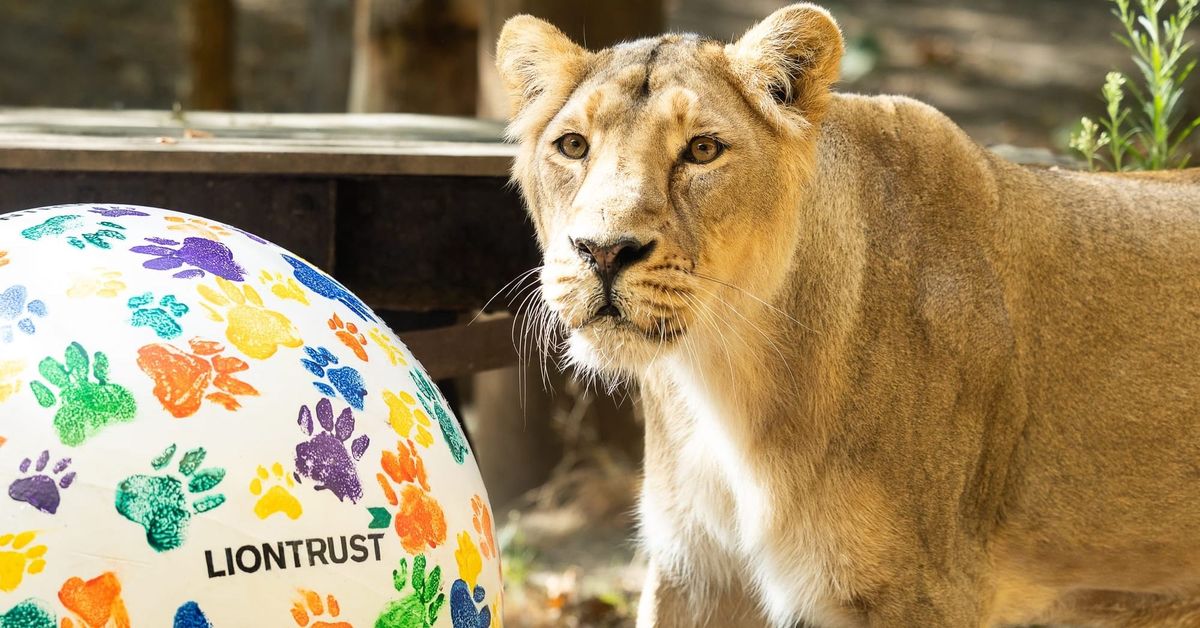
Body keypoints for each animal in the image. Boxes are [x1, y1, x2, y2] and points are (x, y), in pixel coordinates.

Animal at [495, 4, 1200, 626]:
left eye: (702, 150)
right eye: (572, 145)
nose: (602, 251)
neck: (726, 375)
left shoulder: (924, 592)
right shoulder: (695, 572)